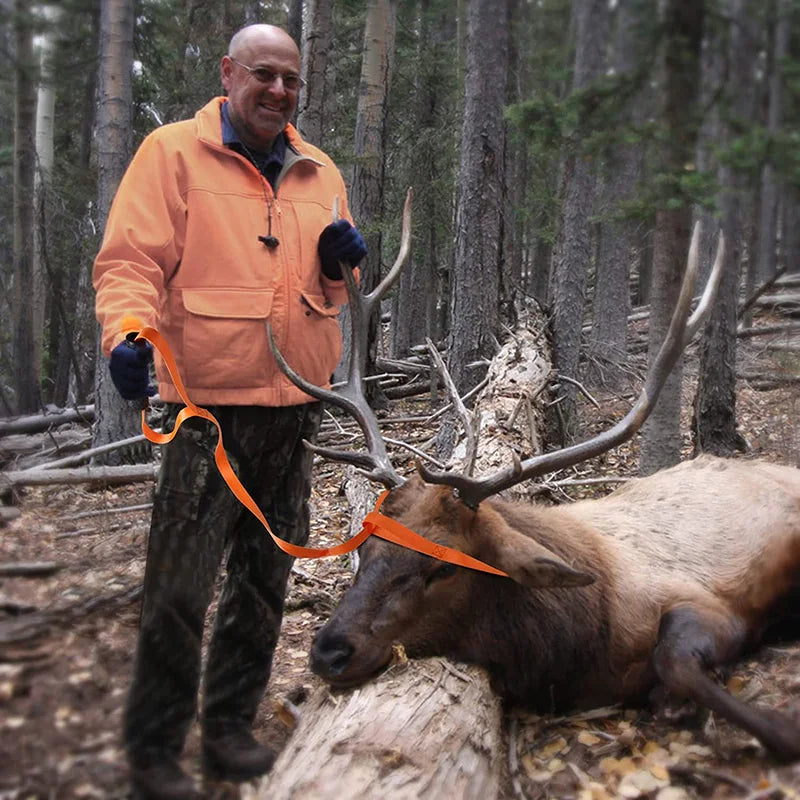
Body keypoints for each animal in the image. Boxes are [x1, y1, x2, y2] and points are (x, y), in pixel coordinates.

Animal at [269, 192, 800, 761]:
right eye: (365, 547)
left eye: (444, 567)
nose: (328, 653)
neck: (579, 645)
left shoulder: (707, 601)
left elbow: (673, 661)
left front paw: (774, 727)